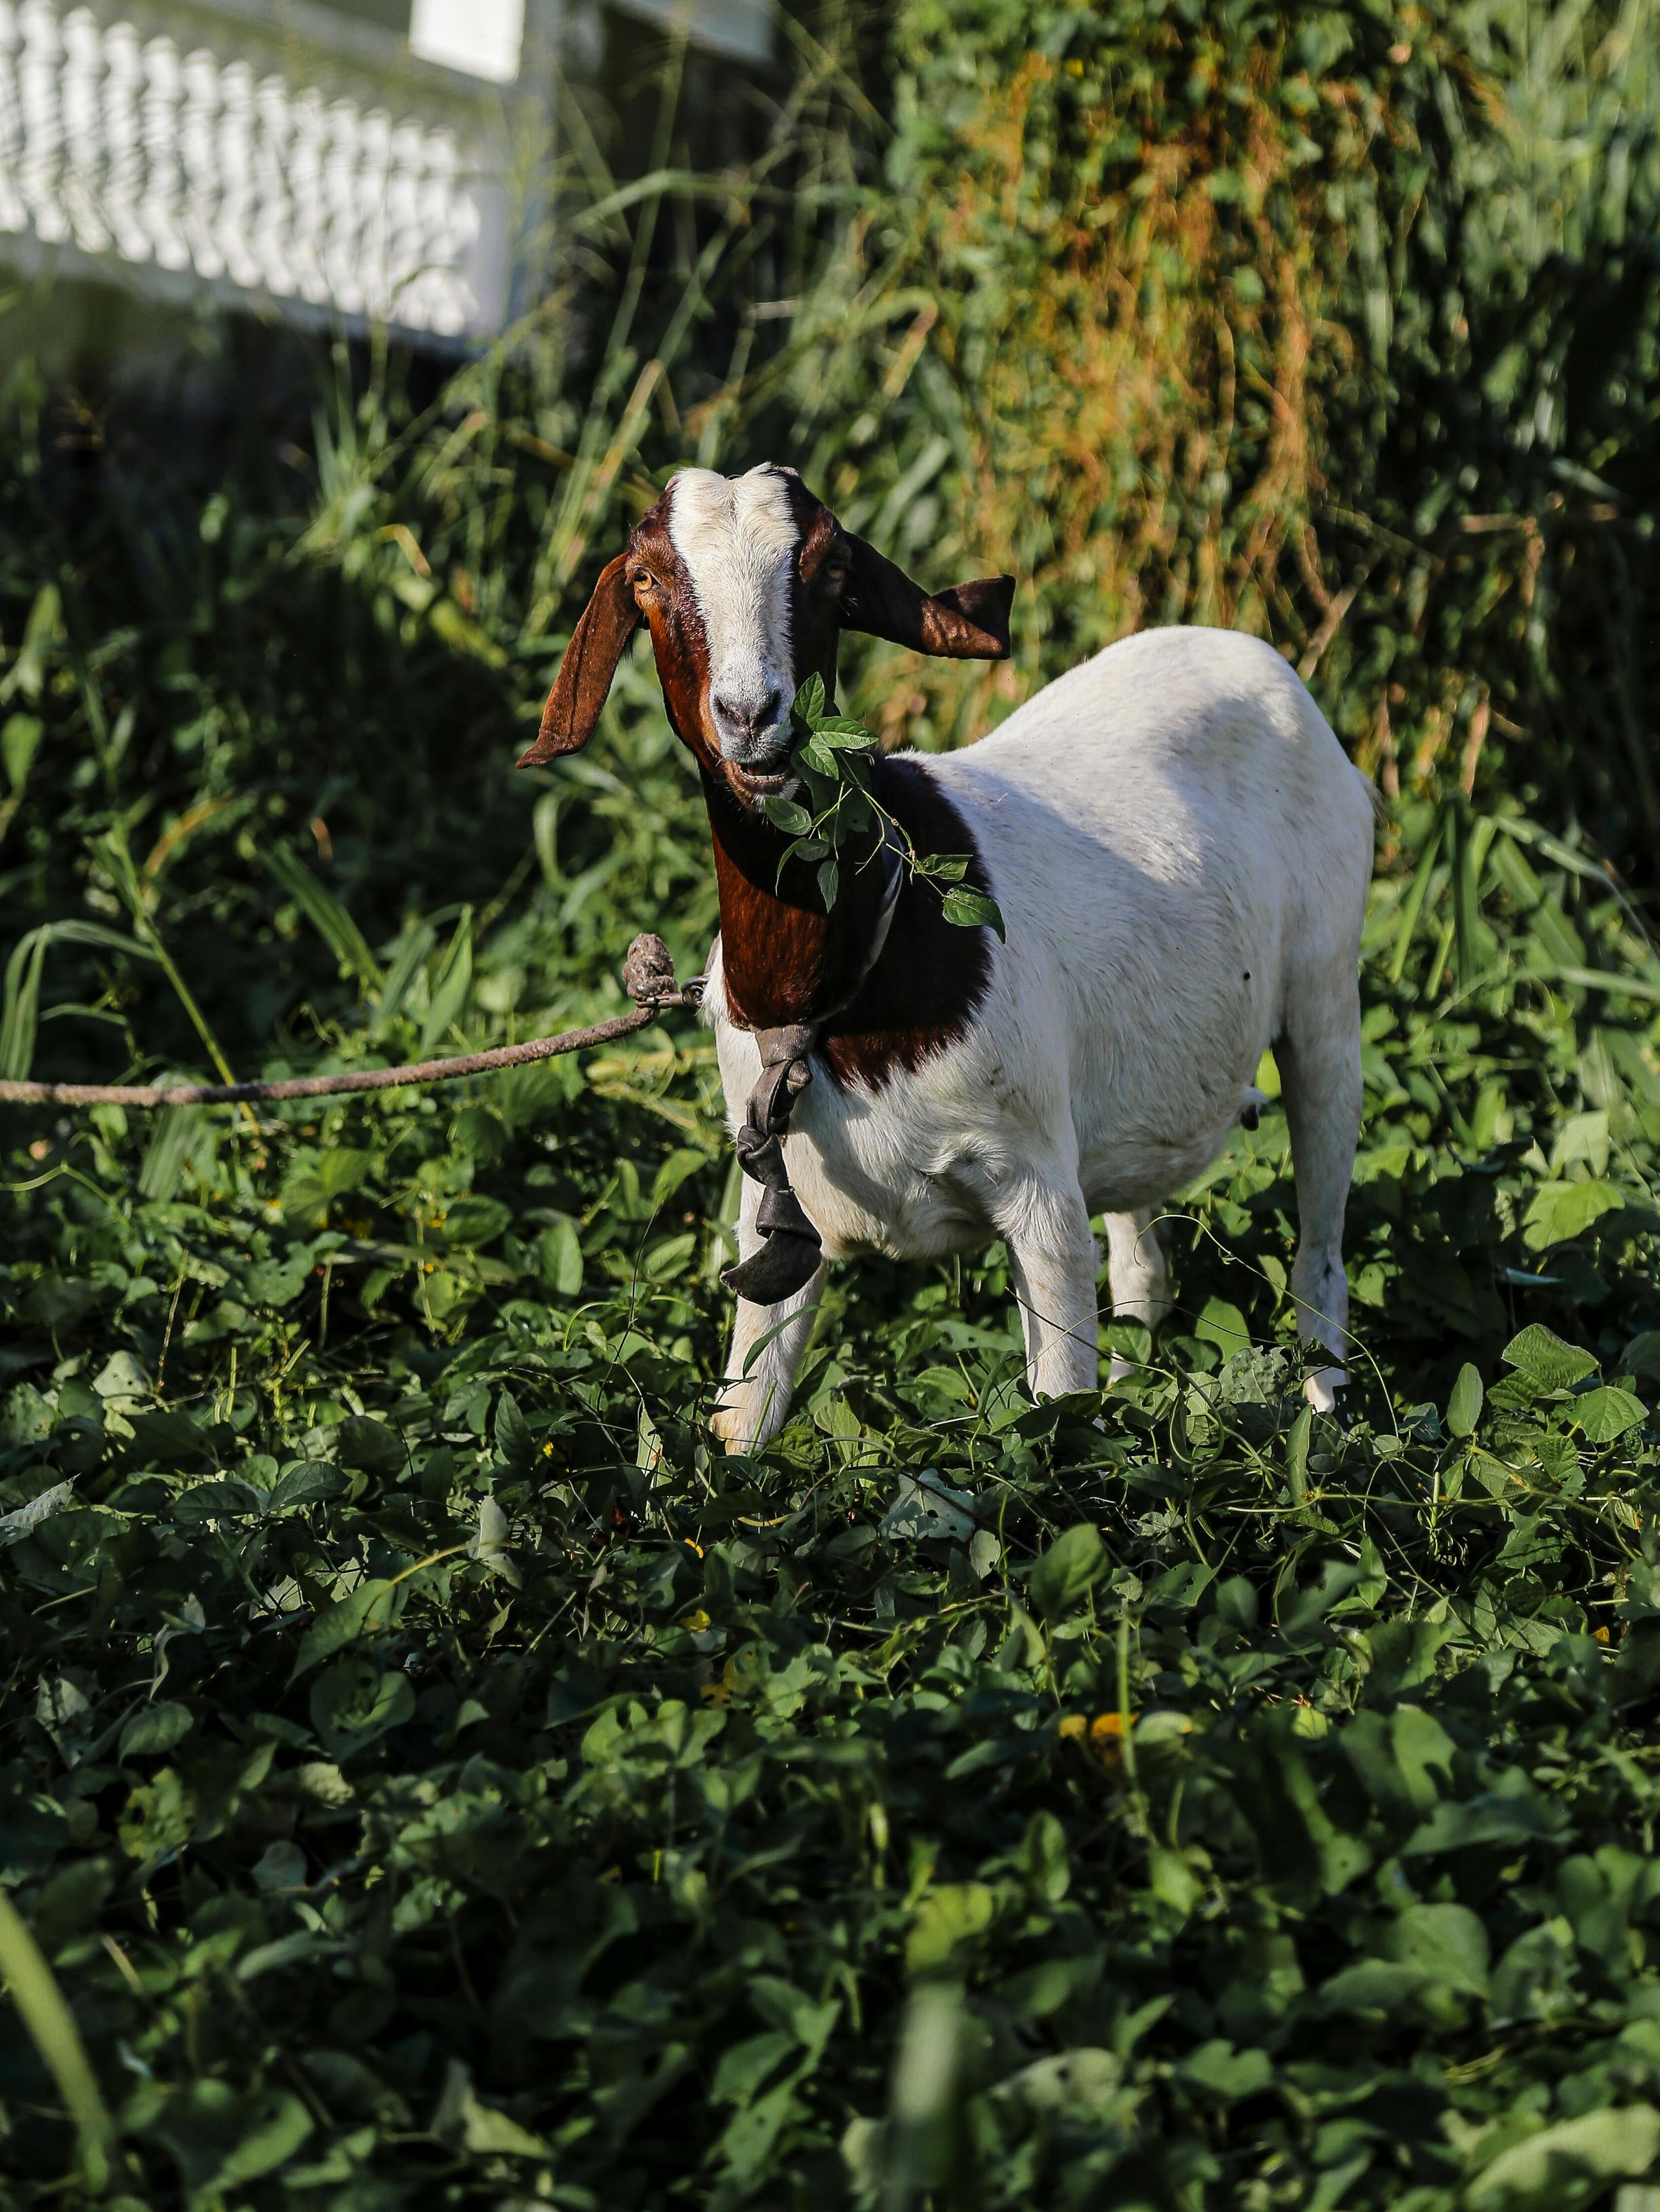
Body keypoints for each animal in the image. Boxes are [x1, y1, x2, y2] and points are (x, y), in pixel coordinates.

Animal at [519, 463, 1375, 1450]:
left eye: (829, 570)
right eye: (647, 579)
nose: (751, 715)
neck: (837, 989)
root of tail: (1252, 653)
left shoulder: (1037, 1192)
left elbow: (1055, 1420)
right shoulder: (773, 1217)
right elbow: (740, 1427)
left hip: (1325, 992)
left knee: (1319, 1251)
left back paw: (1330, 1424)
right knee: (1142, 1271)